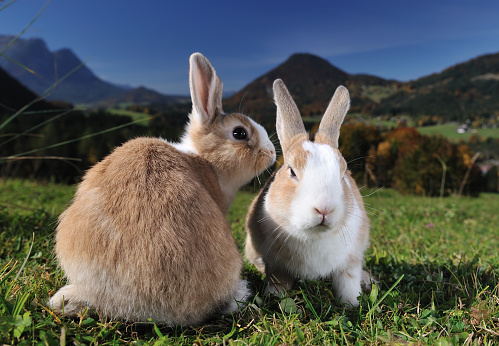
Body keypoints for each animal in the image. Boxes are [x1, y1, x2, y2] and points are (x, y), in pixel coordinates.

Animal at [244, 78, 374, 306]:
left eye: (343, 174)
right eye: (292, 171)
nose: (324, 209)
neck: (314, 235)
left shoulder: (349, 263)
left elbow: (347, 283)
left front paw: (351, 304)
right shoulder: (276, 266)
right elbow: (277, 283)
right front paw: (275, 299)